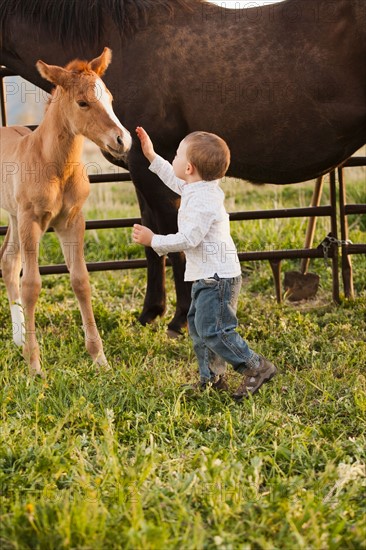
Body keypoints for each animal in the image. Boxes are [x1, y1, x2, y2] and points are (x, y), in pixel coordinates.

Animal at [0, 0, 366, 336]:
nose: (120, 137)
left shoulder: (154, 171)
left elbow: (172, 237)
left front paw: (179, 319)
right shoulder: (142, 170)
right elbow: (151, 239)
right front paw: (151, 312)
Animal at [0, 48, 132, 376]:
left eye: (110, 98)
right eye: (82, 102)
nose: (123, 140)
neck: (54, 167)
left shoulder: (71, 221)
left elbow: (81, 281)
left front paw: (99, 358)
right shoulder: (32, 221)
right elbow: (32, 284)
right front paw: (34, 366)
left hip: (13, 216)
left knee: (8, 261)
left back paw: (18, 339)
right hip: (19, 218)